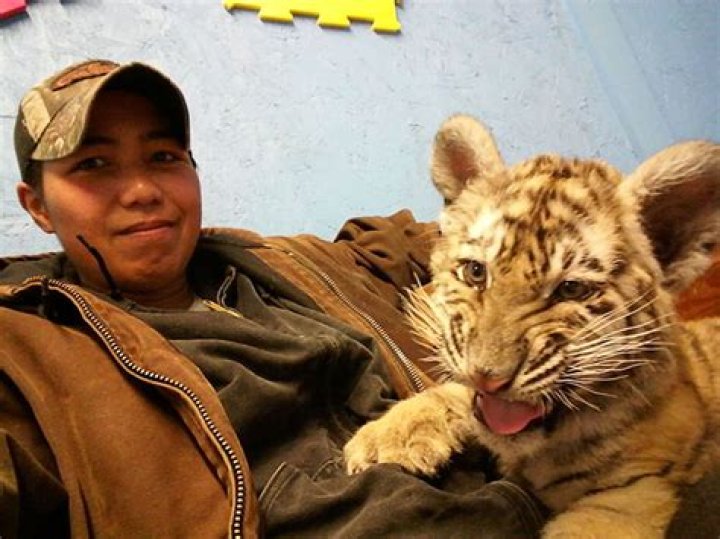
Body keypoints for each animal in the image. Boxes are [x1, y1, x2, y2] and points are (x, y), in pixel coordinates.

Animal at [344, 115, 720, 538]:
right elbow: (454, 394)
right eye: (476, 272)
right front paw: (385, 439)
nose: (488, 377)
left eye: (571, 289)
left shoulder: (629, 495)